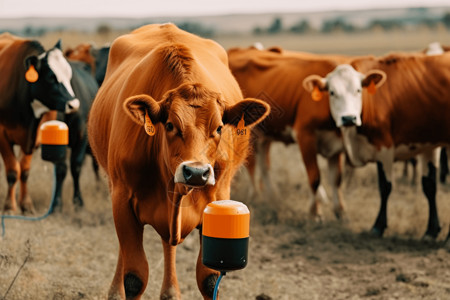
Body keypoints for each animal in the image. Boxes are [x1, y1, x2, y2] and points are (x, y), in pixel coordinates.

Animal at [0, 33, 80, 213]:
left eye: (69, 74)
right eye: (51, 77)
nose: (74, 104)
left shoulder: (33, 139)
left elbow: (24, 171)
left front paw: (26, 205)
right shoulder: (2, 136)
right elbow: (12, 171)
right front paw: (10, 207)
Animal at [88, 24, 270, 300]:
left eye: (219, 128)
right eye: (171, 125)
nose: (196, 173)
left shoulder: (216, 202)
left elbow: (209, 279)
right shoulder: (122, 200)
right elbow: (135, 276)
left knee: (168, 243)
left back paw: (171, 291)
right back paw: (116, 291)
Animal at [229, 47, 356, 220]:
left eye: (359, 91)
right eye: (332, 92)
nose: (349, 118)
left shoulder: (336, 145)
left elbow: (336, 179)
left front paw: (340, 212)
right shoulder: (305, 137)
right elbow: (314, 177)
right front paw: (315, 213)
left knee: (263, 165)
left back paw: (271, 197)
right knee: (251, 164)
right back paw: (254, 196)